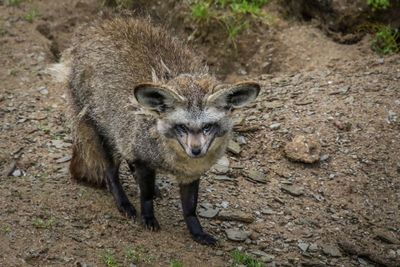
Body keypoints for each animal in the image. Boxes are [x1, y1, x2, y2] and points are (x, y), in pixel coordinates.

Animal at [52, 17, 260, 247]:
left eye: (207, 127)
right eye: (182, 127)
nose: (196, 150)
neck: (174, 160)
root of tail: (99, 27)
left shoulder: (190, 173)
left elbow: (190, 208)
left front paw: (196, 231)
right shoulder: (143, 156)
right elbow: (146, 196)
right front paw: (148, 217)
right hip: (102, 130)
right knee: (110, 172)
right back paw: (123, 201)